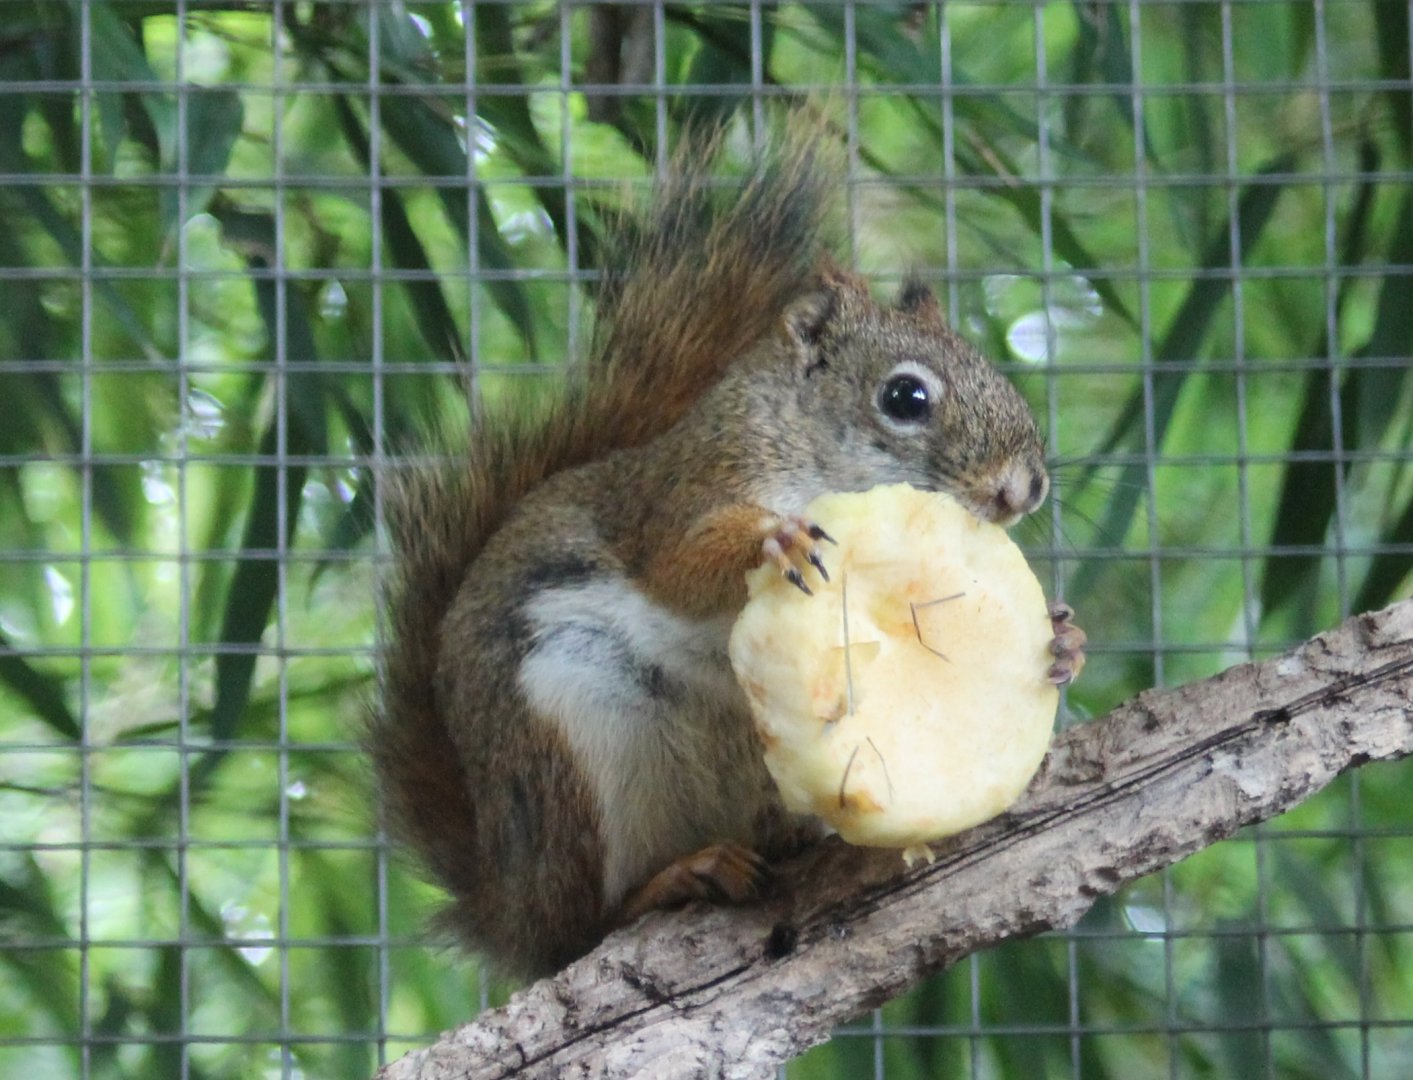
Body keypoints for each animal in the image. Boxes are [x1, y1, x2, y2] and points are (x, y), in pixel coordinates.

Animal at [368, 129, 1086, 981]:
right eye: (905, 398)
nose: (1025, 490)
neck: (807, 447)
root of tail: (508, 910)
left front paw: (1064, 639)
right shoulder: (688, 491)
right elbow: (677, 567)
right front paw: (774, 538)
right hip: (568, 738)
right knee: (583, 927)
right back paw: (674, 878)